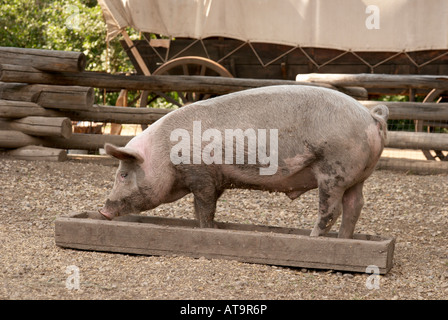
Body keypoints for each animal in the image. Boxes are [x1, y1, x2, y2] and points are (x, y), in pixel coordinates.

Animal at [100, 85, 386, 238]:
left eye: (123, 175)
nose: (103, 211)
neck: (164, 152)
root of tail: (371, 117)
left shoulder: (200, 175)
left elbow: (204, 207)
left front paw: (209, 229)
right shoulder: (214, 179)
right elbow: (201, 208)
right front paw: (208, 227)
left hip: (333, 170)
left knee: (331, 209)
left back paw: (314, 238)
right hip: (358, 175)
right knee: (355, 205)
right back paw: (345, 239)